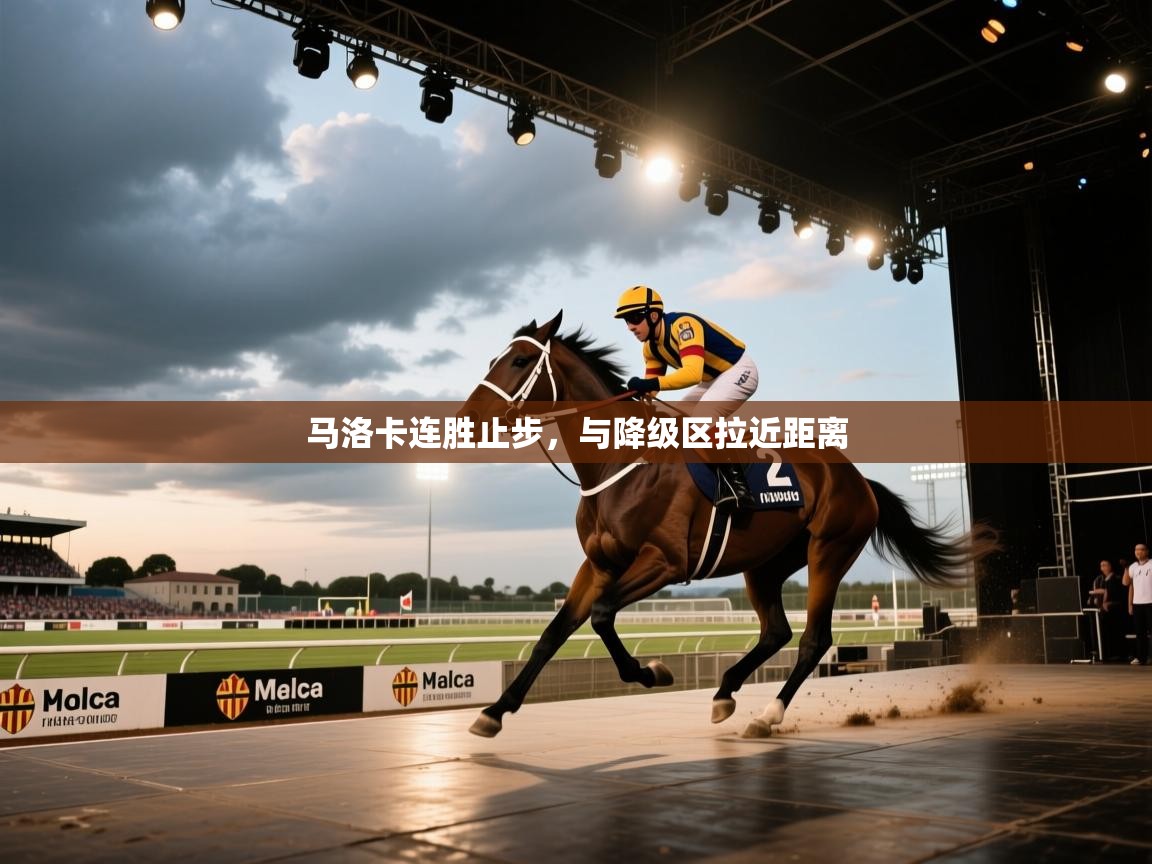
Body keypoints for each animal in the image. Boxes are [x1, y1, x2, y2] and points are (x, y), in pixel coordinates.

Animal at [460, 311, 995, 738]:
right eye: (491, 360)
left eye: (520, 362)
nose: (468, 416)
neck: (620, 461)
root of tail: (860, 480)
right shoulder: (598, 563)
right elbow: (555, 632)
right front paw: (495, 711)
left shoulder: (666, 561)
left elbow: (603, 614)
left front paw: (653, 672)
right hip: (764, 565)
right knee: (776, 632)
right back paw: (725, 693)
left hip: (830, 549)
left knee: (813, 640)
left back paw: (768, 715)